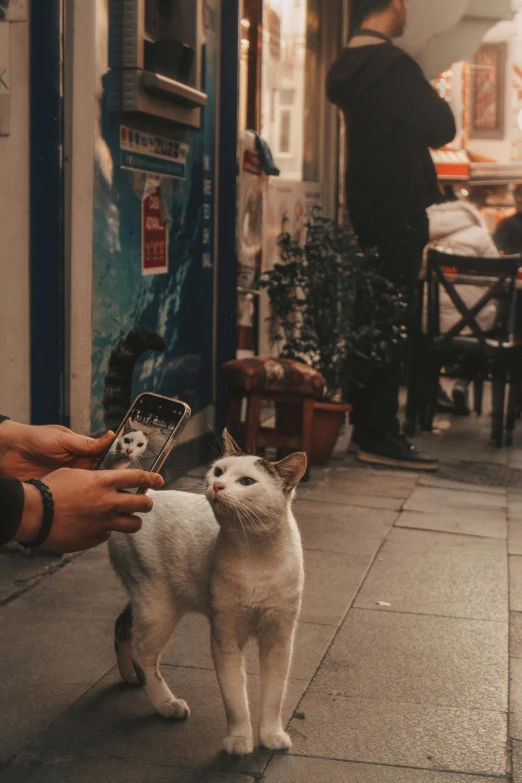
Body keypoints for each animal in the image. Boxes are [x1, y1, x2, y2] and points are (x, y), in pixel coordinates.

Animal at [109, 432, 304, 756]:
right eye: (219, 471)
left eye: (247, 481)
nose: (217, 485)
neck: (256, 555)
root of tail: (139, 496)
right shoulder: (224, 637)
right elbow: (235, 699)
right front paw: (239, 740)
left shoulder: (279, 637)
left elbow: (274, 694)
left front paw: (271, 735)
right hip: (158, 605)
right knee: (142, 652)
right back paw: (166, 704)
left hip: (145, 600)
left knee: (123, 627)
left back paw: (131, 678)